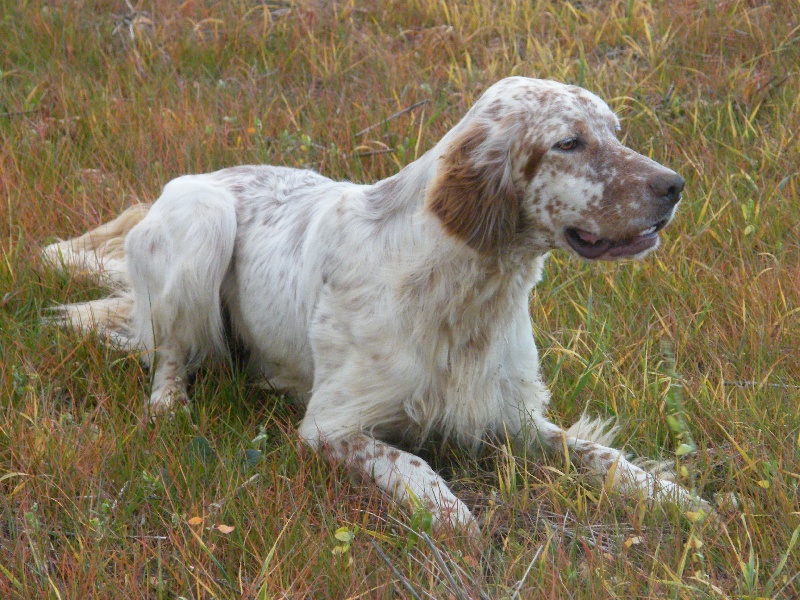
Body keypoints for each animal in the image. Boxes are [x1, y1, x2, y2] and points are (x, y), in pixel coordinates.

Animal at [45, 76, 708, 536]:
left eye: (617, 132)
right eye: (568, 142)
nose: (674, 185)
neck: (465, 292)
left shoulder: (512, 416)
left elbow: (597, 452)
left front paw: (673, 496)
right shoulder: (330, 426)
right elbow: (415, 466)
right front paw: (455, 518)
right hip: (202, 221)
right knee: (169, 352)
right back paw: (170, 405)